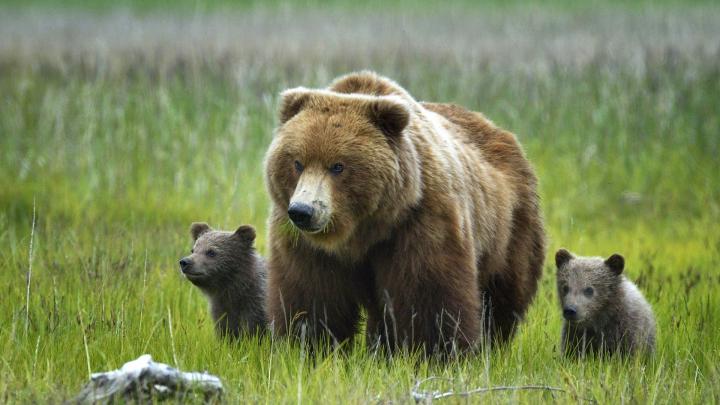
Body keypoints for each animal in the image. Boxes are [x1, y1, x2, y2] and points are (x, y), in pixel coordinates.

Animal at [263, 71, 545, 356]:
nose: (303, 211)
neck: (362, 230)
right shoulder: (307, 246)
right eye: (297, 162)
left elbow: (429, 295)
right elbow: (311, 296)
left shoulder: (420, 220)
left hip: (509, 228)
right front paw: (307, 346)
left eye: (338, 166)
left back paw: (491, 345)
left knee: (501, 297)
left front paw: (435, 351)